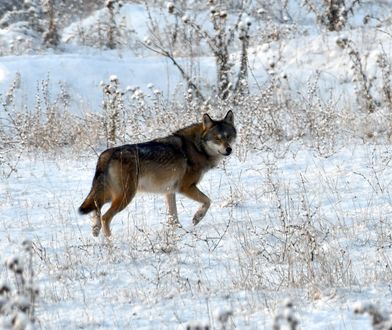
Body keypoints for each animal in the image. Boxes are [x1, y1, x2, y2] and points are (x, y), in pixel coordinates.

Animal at [78, 111, 234, 237]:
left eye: (229, 137)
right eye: (217, 138)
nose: (229, 149)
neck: (197, 147)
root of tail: (106, 154)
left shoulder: (169, 191)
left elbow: (174, 217)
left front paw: (177, 233)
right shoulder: (185, 188)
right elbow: (208, 201)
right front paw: (197, 218)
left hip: (111, 195)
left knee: (96, 209)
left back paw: (96, 231)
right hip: (125, 196)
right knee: (105, 217)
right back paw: (110, 241)